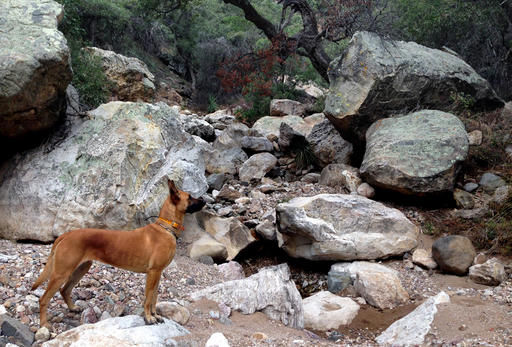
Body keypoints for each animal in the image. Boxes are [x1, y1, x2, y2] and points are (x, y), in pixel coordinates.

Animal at [31, 179, 204, 328]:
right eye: (190, 197)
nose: (204, 199)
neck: (166, 227)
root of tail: (66, 235)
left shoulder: (158, 273)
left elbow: (154, 297)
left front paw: (155, 315)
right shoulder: (153, 273)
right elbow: (148, 298)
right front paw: (149, 317)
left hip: (80, 269)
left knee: (65, 290)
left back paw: (73, 308)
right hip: (61, 273)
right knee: (44, 299)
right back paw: (44, 324)